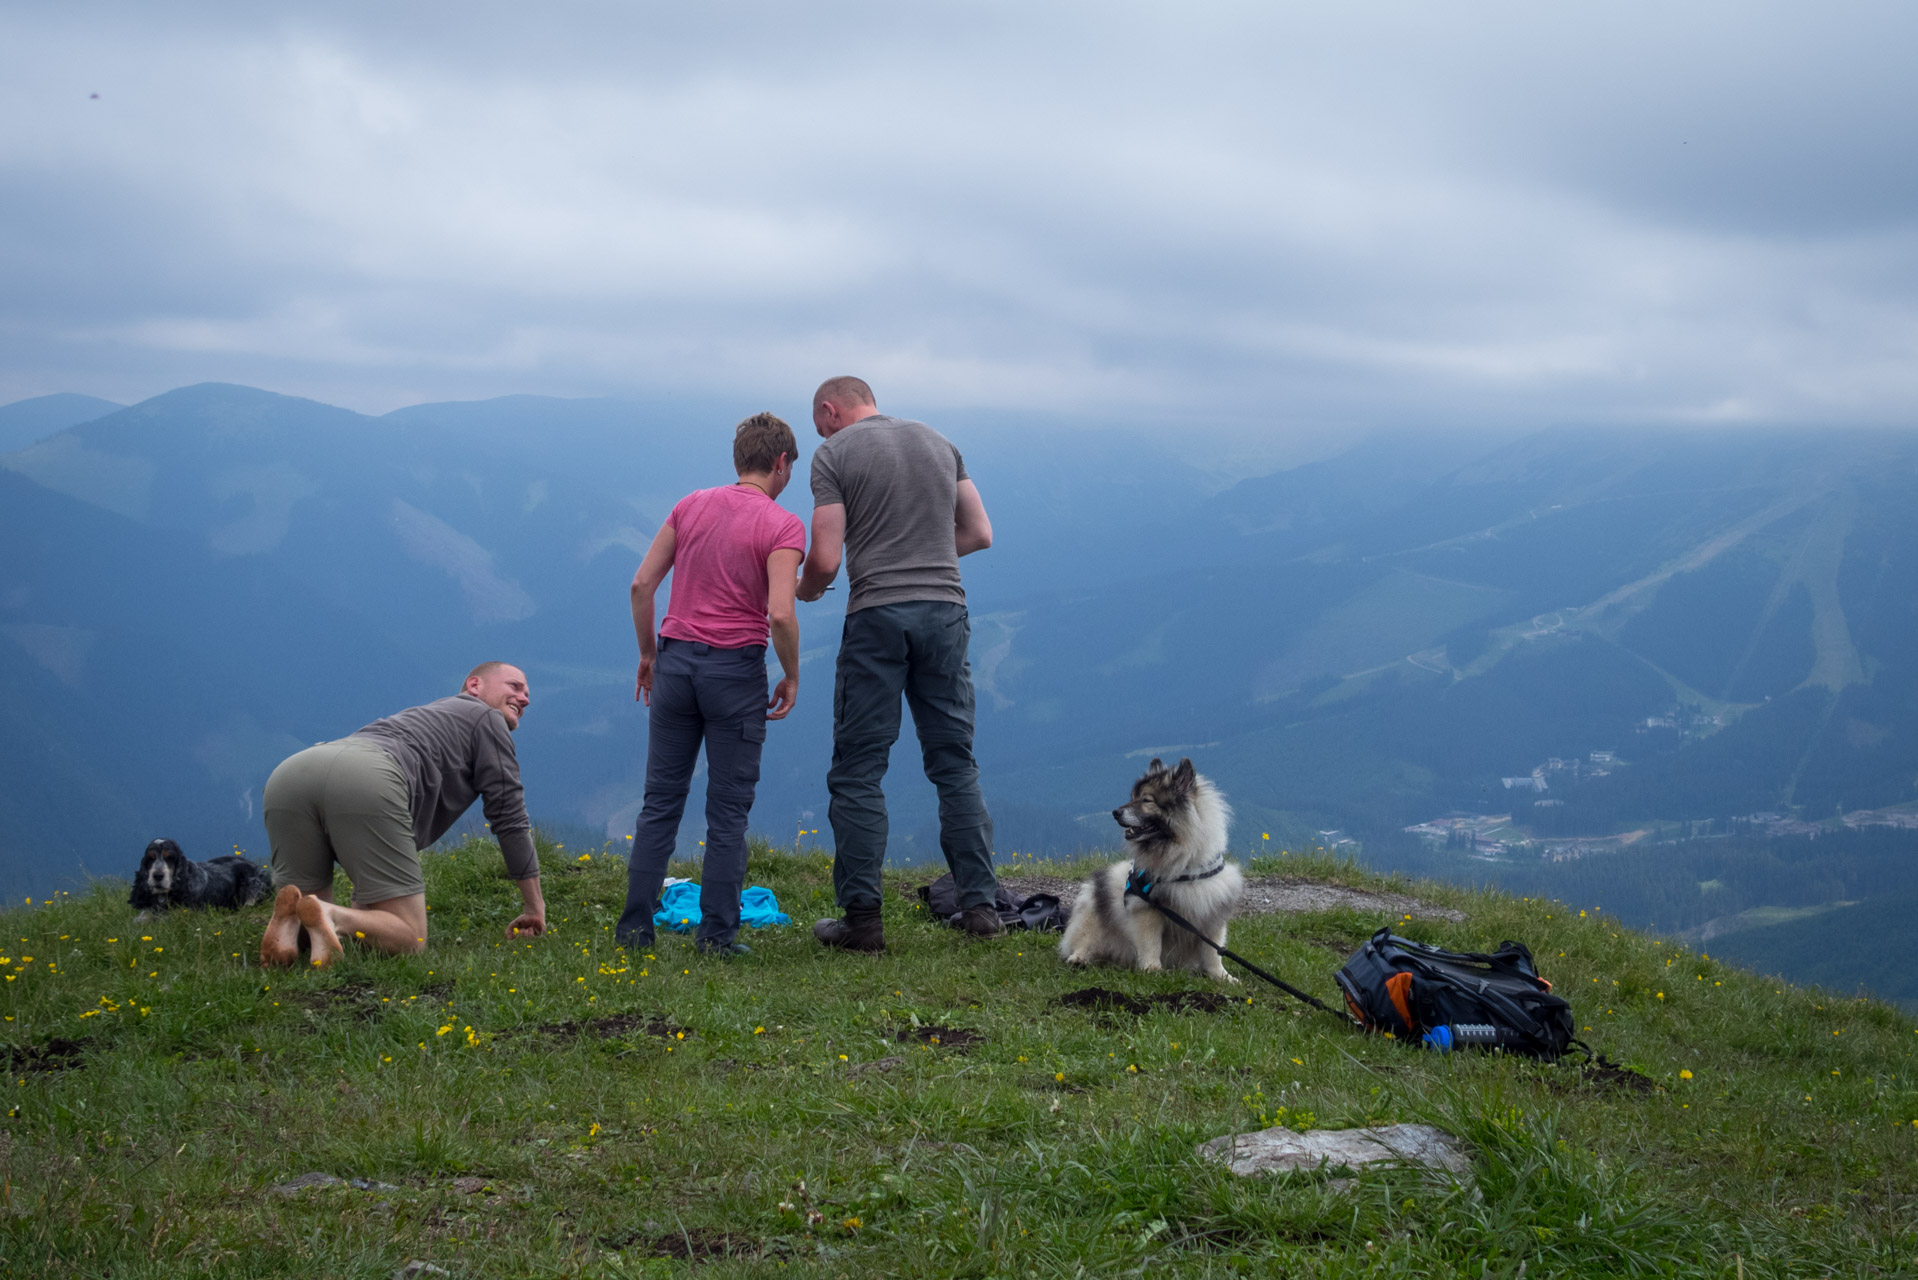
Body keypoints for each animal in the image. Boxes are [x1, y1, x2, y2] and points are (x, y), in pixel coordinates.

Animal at [1066, 756, 1242, 990]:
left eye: (1146, 800)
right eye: (1132, 798)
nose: (1115, 812)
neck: (1184, 865)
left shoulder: (1211, 911)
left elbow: (1214, 952)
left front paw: (1222, 977)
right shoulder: (1147, 910)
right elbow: (1151, 943)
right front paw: (1152, 969)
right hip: (1093, 913)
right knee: (1084, 941)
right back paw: (1078, 959)